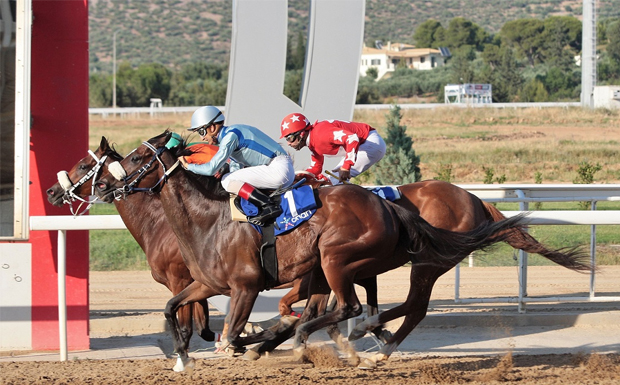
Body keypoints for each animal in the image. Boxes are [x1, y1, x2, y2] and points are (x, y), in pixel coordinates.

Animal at [94, 132, 532, 368]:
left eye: (136, 157)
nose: (106, 185)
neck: (209, 219)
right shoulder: (206, 283)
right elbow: (174, 310)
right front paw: (183, 358)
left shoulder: (246, 286)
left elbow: (231, 334)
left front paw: (254, 343)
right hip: (336, 265)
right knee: (368, 308)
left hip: (347, 259)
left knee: (368, 307)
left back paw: (359, 340)